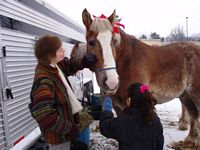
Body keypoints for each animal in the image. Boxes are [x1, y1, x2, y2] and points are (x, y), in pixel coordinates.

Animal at [72, 8, 200, 149]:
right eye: (91, 42)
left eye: (114, 41)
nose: (111, 81)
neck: (126, 61)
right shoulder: (118, 104)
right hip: (185, 95)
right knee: (194, 114)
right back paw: (191, 140)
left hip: (195, 93)